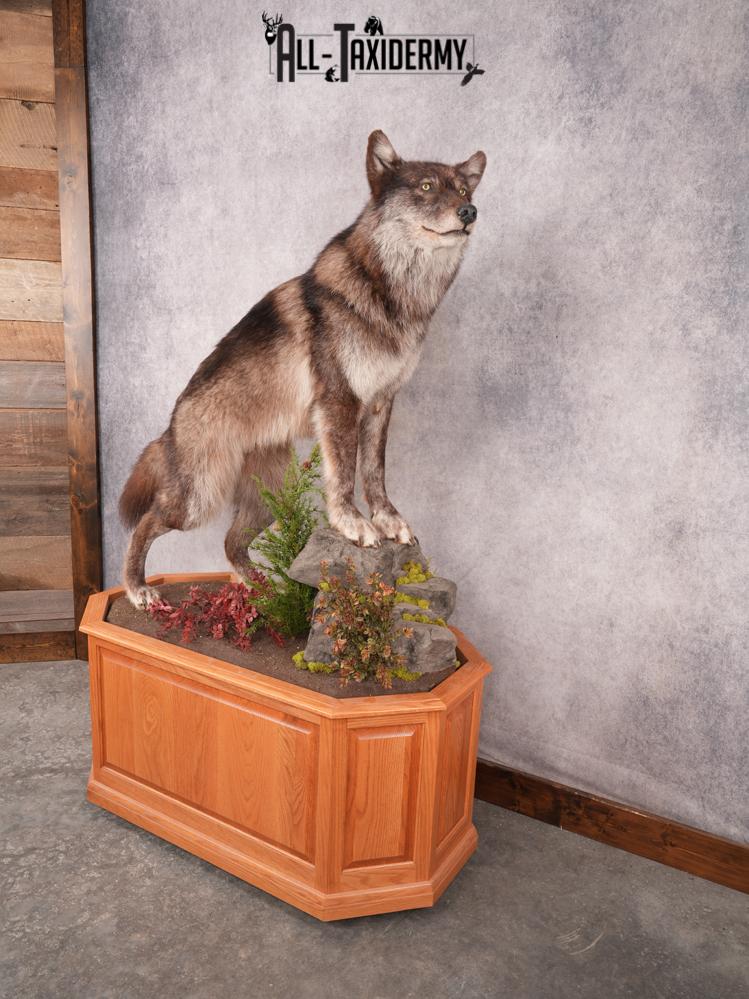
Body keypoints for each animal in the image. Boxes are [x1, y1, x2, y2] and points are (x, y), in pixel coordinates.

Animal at [120, 130, 486, 607]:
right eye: (426, 187)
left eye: (463, 191)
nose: (469, 213)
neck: (390, 295)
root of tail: (171, 426)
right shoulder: (340, 403)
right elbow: (344, 474)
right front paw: (352, 524)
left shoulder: (381, 404)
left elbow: (375, 472)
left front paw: (387, 520)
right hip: (200, 499)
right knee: (145, 524)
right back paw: (138, 589)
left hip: (268, 495)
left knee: (231, 543)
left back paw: (263, 594)